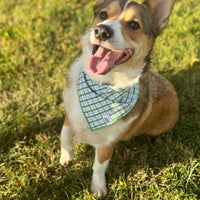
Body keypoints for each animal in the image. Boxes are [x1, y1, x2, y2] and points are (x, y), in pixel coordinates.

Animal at [59, 0, 178, 197]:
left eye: (134, 25)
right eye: (103, 15)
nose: (101, 31)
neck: (102, 84)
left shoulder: (106, 145)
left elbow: (98, 167)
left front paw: (98, 188)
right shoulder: (70, 115)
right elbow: (65, 137)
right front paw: (66, 158)